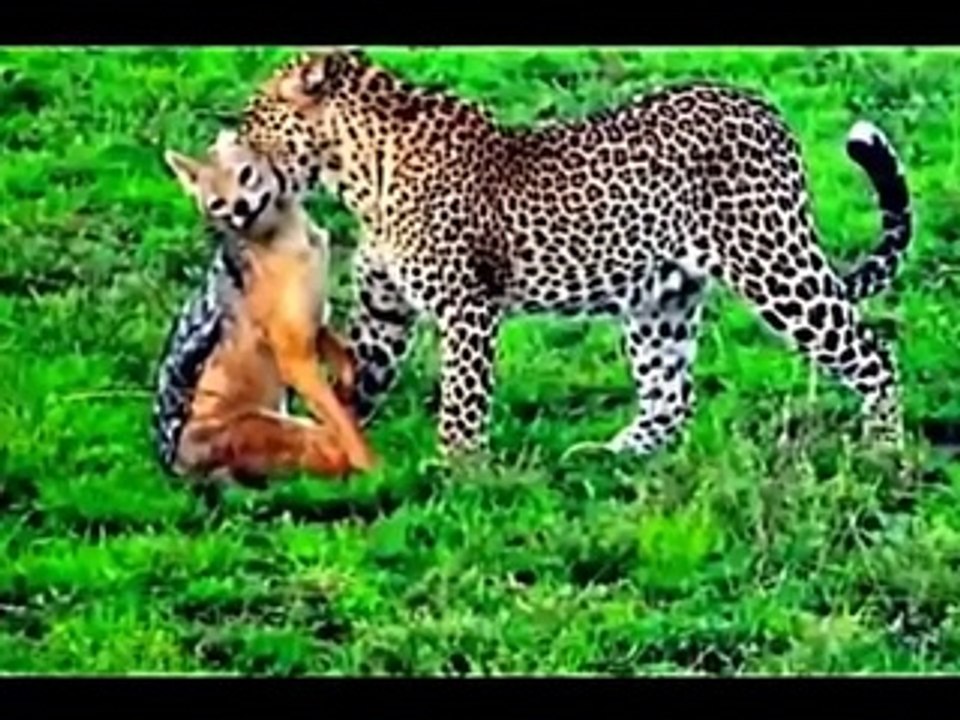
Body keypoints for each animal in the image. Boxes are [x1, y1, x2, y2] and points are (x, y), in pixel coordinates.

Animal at [153, 127, 375, 484]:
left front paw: (347, 379)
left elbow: (342, 356)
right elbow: (348, 429)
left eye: (245, 174)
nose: (240, 208)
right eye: (218, 204)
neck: (292, 240)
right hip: (287, 428)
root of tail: (177, 471)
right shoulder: (292, 353)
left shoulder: (312, 319)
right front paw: (377, 470)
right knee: (332, 452)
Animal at [233, 49, 913, 461]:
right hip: (661, 301)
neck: (356, 174)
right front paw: (327, 448)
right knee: (670, 396)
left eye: (254, 114)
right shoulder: (385, 312)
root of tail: (765, 110)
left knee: (873, 352)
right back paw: (610, 460)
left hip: (773, 263)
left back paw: (886, 451)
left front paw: (457, 473)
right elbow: (356, 380)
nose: (234, 139)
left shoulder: (467, 305)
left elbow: (462, 399)